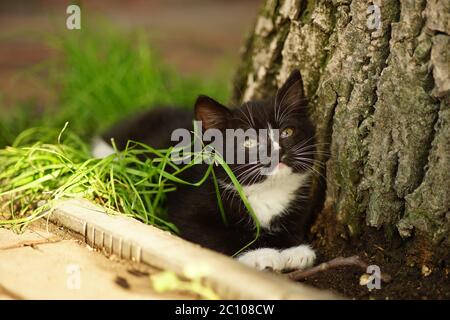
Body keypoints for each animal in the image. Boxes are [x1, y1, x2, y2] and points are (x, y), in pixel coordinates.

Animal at [92, 70, 316, 272]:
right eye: (249, 142)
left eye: (287, 132)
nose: (278, 151)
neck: (265, 189)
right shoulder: (186, 210)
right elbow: (220, 235)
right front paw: (260, 255)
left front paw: (294, 250)